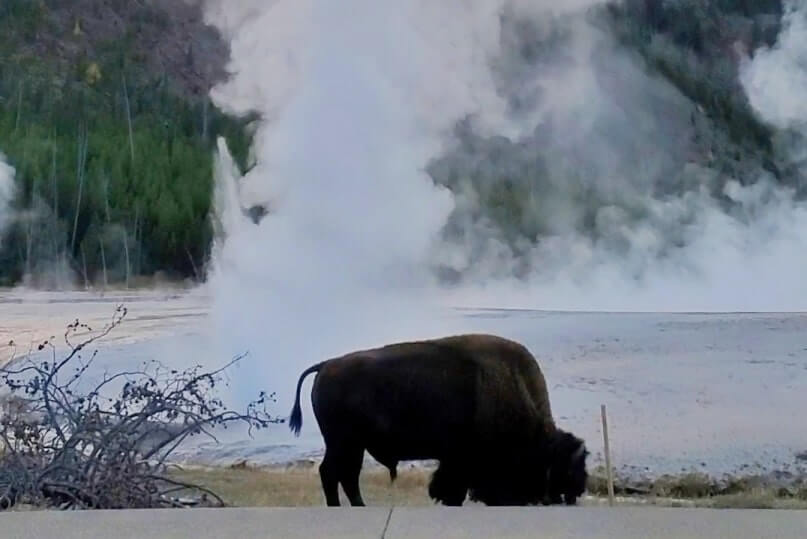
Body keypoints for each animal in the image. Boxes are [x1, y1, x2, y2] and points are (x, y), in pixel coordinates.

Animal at [288, 333, 588, 506]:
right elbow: (452, 489)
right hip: (344, 443)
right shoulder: (461, 462)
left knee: (346, 477)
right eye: (569, 466)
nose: (579, 490)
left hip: (352, 446)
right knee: (333, 474)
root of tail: (326, 365)